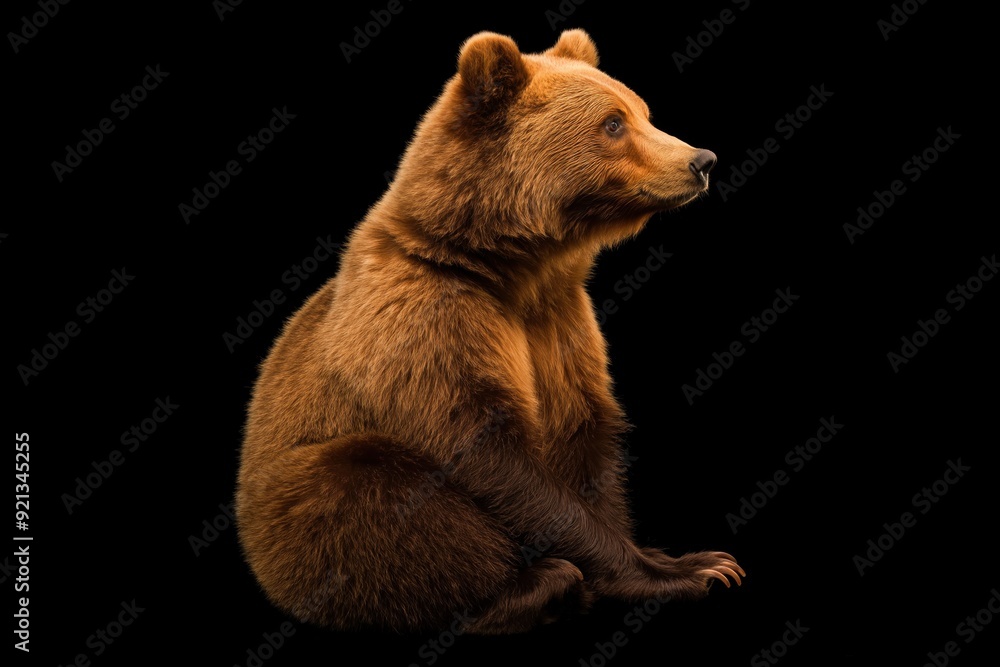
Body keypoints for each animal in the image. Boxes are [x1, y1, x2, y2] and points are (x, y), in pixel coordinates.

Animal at [235, 28, 742, 634]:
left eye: (642, 111)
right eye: (613, 123)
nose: (701, 159)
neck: (510, 267)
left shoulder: (560, 324)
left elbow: (584, 439)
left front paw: (678, 557)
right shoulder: (430, 318)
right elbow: (490, 453)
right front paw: (690, 571)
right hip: (287, 512)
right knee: (362, 484)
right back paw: (534, 587)